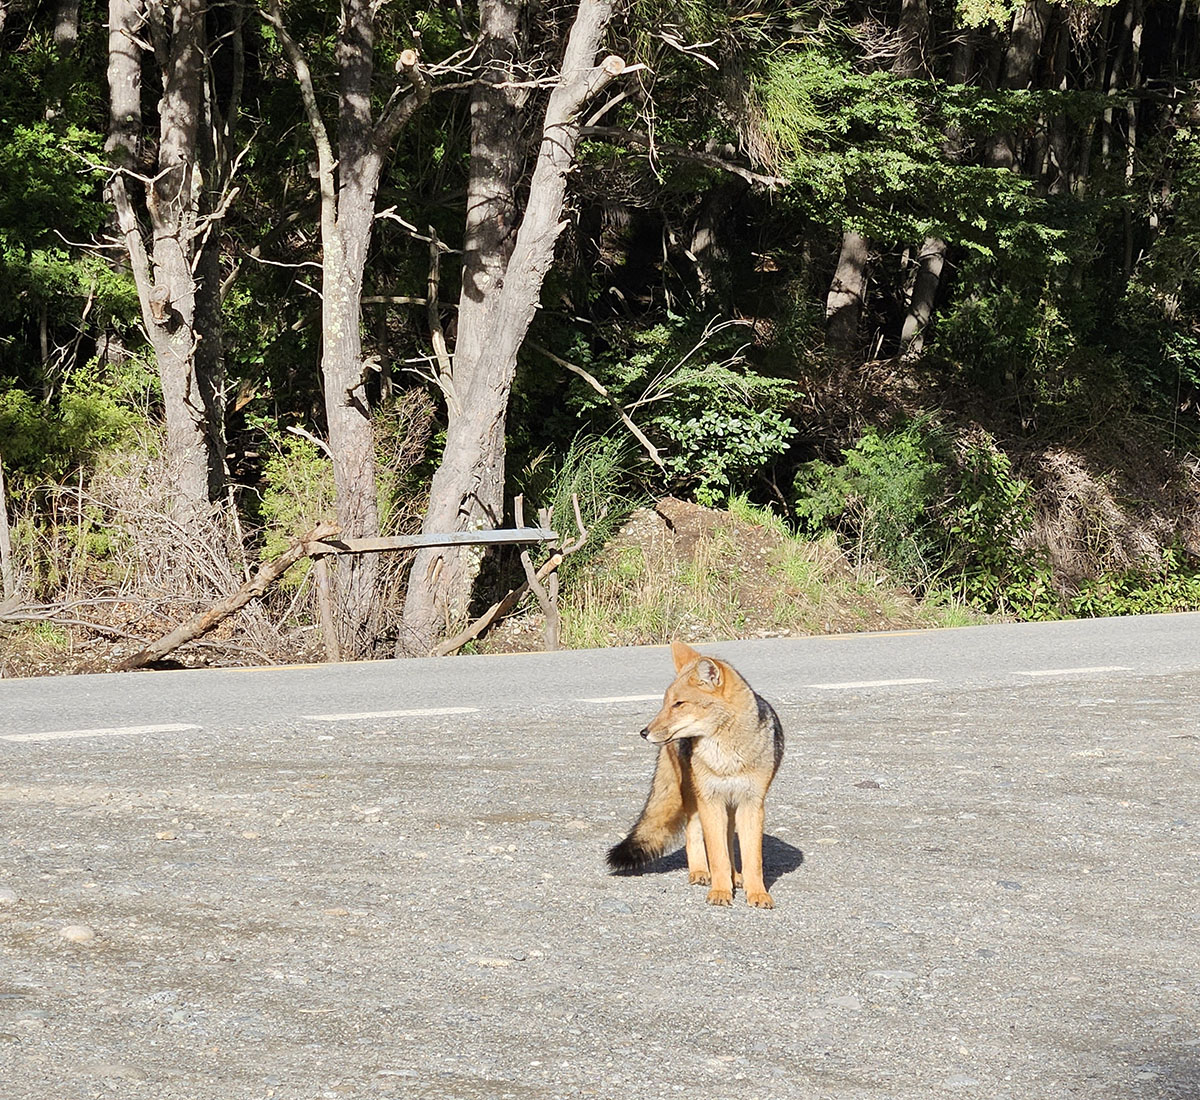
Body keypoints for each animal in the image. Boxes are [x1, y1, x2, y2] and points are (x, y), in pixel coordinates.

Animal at [609, 638, 787, 906]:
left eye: (678, 704)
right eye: (664, 703)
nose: (643, 732)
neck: (727, 759)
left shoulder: (752, 803)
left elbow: (752, 859)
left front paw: (757, 893)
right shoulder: (709, 800)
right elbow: (717, 855)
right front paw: (720, 892)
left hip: (729, 806)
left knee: (728, 840)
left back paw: (736, 876)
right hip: (694, 798)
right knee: (693, 833)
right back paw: (701, 871)